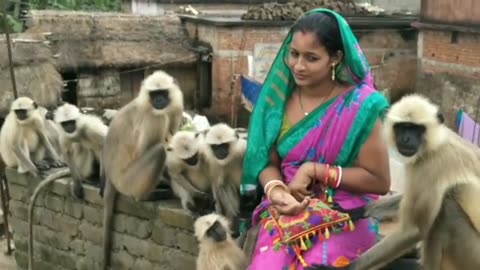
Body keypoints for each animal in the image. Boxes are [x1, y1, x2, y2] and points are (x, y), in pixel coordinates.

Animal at [101, 70, 184, 270]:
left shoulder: (175, 107)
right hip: (128, 181)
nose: (159, 101)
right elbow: (147, 149)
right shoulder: (154, 117)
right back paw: (146, 196)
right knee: (159, 150)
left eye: (163, 93)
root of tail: (111, 175)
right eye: (154, 95)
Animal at [308, 93, 480, 270]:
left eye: (416, 129)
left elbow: (414, 230)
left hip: (471, 254)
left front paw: (347, 267)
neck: (435, 144)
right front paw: (355, 211)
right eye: (402, 127)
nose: (406, 138)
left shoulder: (432, 166)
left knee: (447, 207)